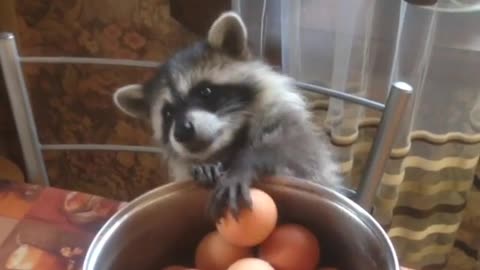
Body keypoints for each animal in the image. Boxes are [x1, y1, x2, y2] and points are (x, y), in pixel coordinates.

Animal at [114, 12, 344, 219]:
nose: (182, 131)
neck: (229, 144)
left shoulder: (295, 134)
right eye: (168, 114)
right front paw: (203, 167)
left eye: (205, 92)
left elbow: (295, 159)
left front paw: (249, 161)